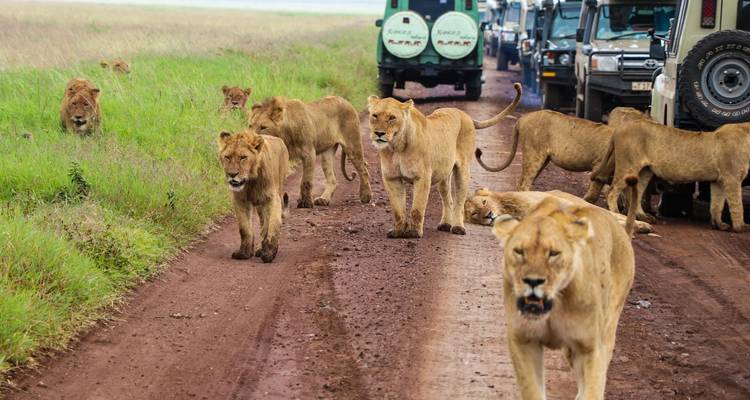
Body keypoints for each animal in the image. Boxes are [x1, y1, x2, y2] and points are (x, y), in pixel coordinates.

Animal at [218, 129, 290, 263]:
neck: (251, 180)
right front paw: (244, 253)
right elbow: (245, 228)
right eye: (227, 157)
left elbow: (272, 224)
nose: (232, 174)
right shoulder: (240, 199)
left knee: (265, 224)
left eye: (243, 157)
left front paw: (269, 253)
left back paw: (262, 249)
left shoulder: (272, 198)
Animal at [366, 83, 521, 239]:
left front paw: (414, 232)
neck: (396, 146)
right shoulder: (391, 178)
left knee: (459, 202)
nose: (379, 133)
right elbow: (398, 209)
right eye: (375, 115)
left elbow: (417, 208)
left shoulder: (422, 178)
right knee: (449, 200)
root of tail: (465, 114)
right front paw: (398, 231)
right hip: (444, 176)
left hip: (463, 170)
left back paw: (458, 227)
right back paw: (445, 224)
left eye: (392, 117)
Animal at [492, 194, 635, 400]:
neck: (554, 308)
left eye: (553, 254)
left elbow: (593, 389)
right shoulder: (522, 339)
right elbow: (531, 390)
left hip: (608, 328)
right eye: (519, 251)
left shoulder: (590, 346)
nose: (533, 281)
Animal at [596, 119, 750, 232]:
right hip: (628, 165)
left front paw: (719, 225)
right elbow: (737, 205)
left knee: (637, 193)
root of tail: (619, 128)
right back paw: (617, 212)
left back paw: (643, 216)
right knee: (612, 191)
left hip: (645, 171)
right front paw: (741, 227)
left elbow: (717, 204)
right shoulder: (731, 178)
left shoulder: (718, 181)